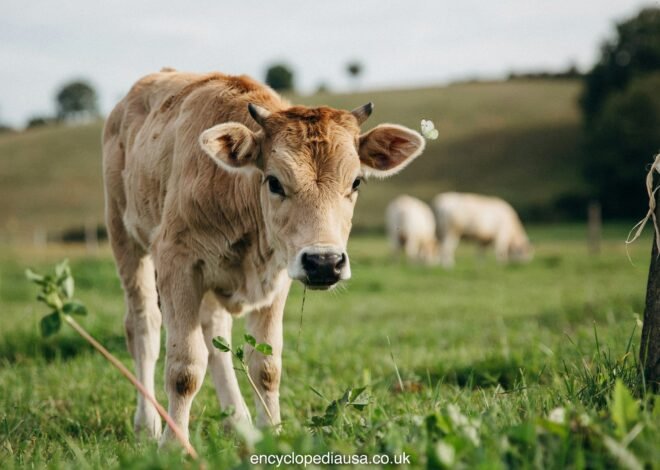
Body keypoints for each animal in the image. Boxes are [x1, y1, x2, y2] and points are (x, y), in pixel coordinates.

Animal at [102, 69, 425, 445]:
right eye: (274, 182)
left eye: (357, 182)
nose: (324, 262)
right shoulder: (177, 263)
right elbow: (184, 368)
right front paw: (175, 445)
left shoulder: (277, 275)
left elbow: (266, 366)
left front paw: (271, 432)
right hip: (125, 239)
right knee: (144, 328)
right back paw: (148, 423)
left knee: (216, 333)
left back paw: (236, 419)